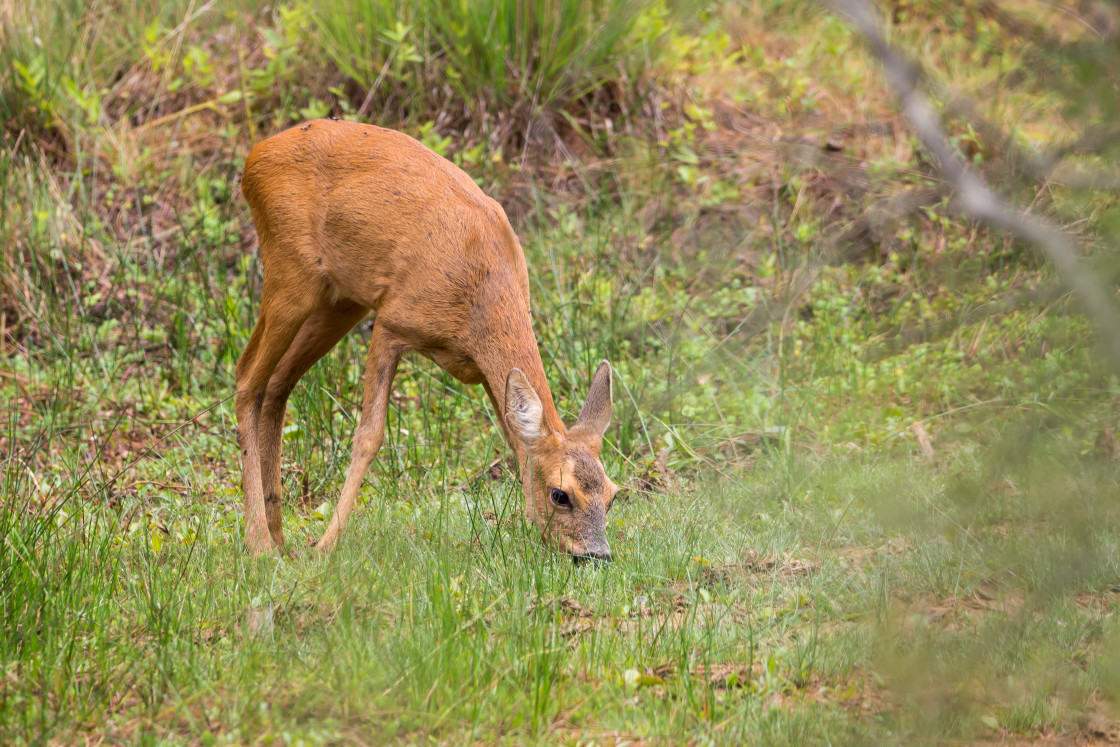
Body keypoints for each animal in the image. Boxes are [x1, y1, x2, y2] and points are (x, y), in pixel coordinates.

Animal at [236, 117, 622, 559]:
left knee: (278, 384)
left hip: (341, 301)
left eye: (613, 495)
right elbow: (369, 435)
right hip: (290, 273)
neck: (479, 292)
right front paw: (326, 546)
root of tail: (255, 158)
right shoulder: (392, 322)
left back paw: (279, 538)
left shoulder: (483, 370)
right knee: (247, 378)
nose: (597, 556)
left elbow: (514, 438)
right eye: (561, 494)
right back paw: (259, 543)